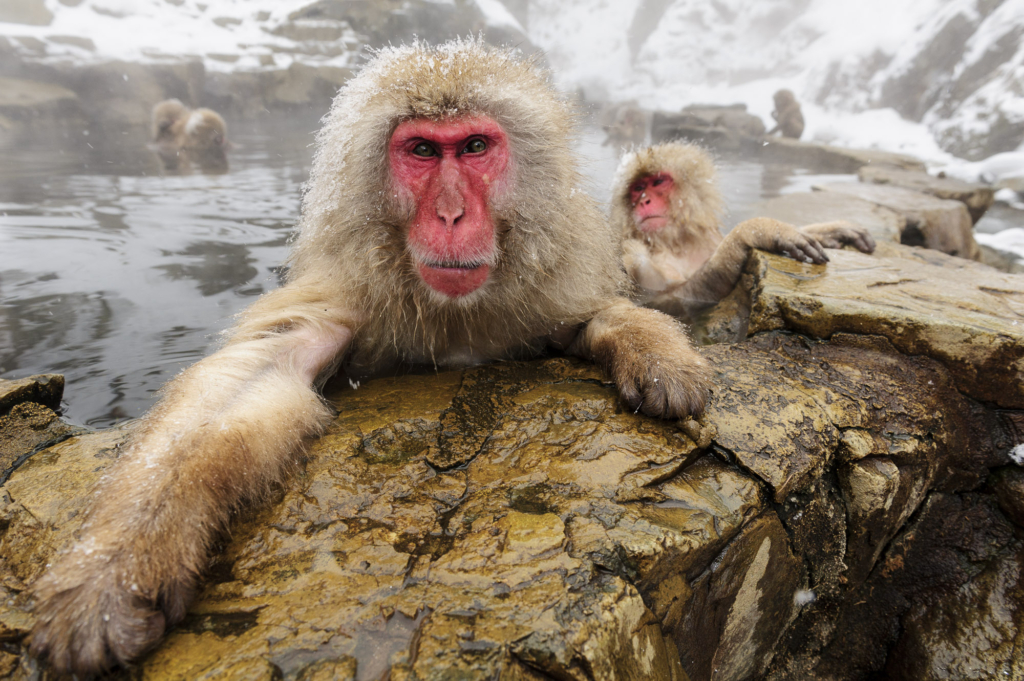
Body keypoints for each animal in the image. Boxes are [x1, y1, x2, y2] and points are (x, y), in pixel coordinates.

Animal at [25, 41, 712, 675]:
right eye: (423, 152)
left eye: (474, 147)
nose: (451, 213)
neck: (452, 313)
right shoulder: (348, 293)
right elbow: (248, 381)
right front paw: (112, 569)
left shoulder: (543, 291)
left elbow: (593, 315)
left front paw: (656, 352)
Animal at [610, 141, 876, 321]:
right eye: (638, 188)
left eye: (657, 182)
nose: (643, 201)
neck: (678, 241)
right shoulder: (634, 254)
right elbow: (669, 298)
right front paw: (756, 229)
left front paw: (833, 229)